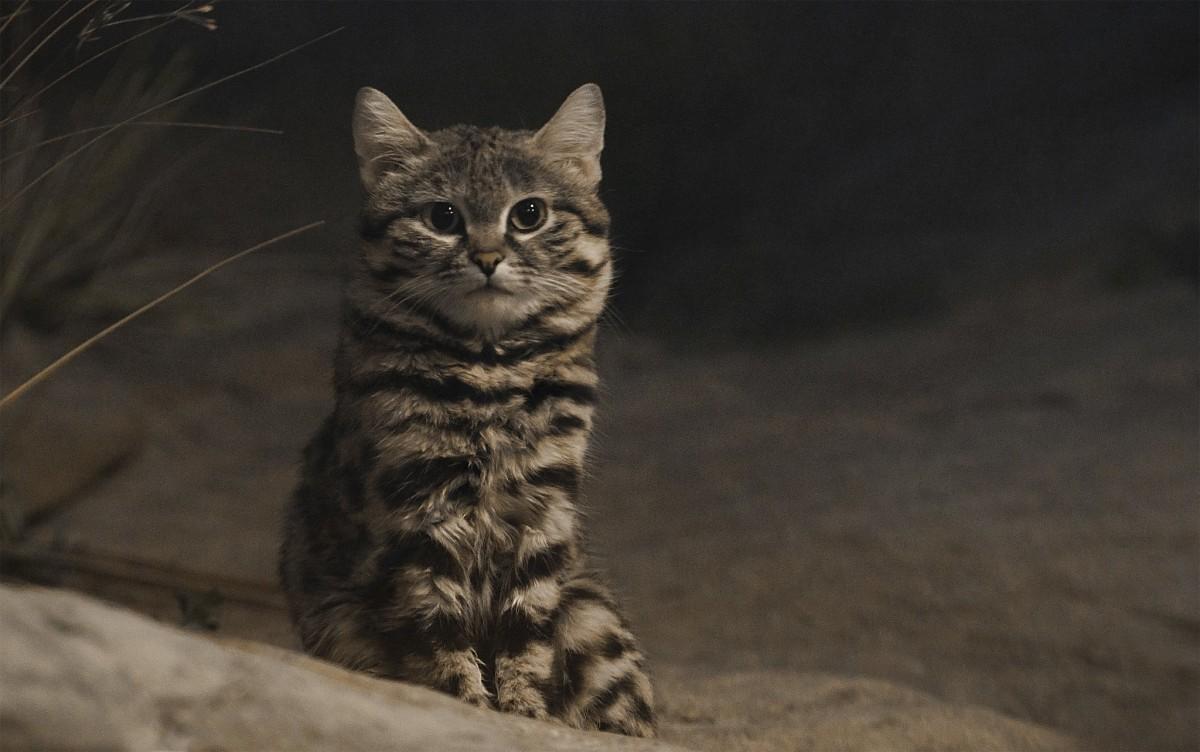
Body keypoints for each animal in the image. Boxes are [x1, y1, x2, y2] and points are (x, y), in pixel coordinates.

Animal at [278, 85, 657, 738]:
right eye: (443, 218)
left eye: (528, 214)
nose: (486, 258)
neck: (488, 368)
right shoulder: (417, 512)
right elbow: (440, 633)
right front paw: (469, 709)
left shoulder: (542, 512)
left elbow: (525, 633)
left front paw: (526, 714)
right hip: (340, 621)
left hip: (591, 614)